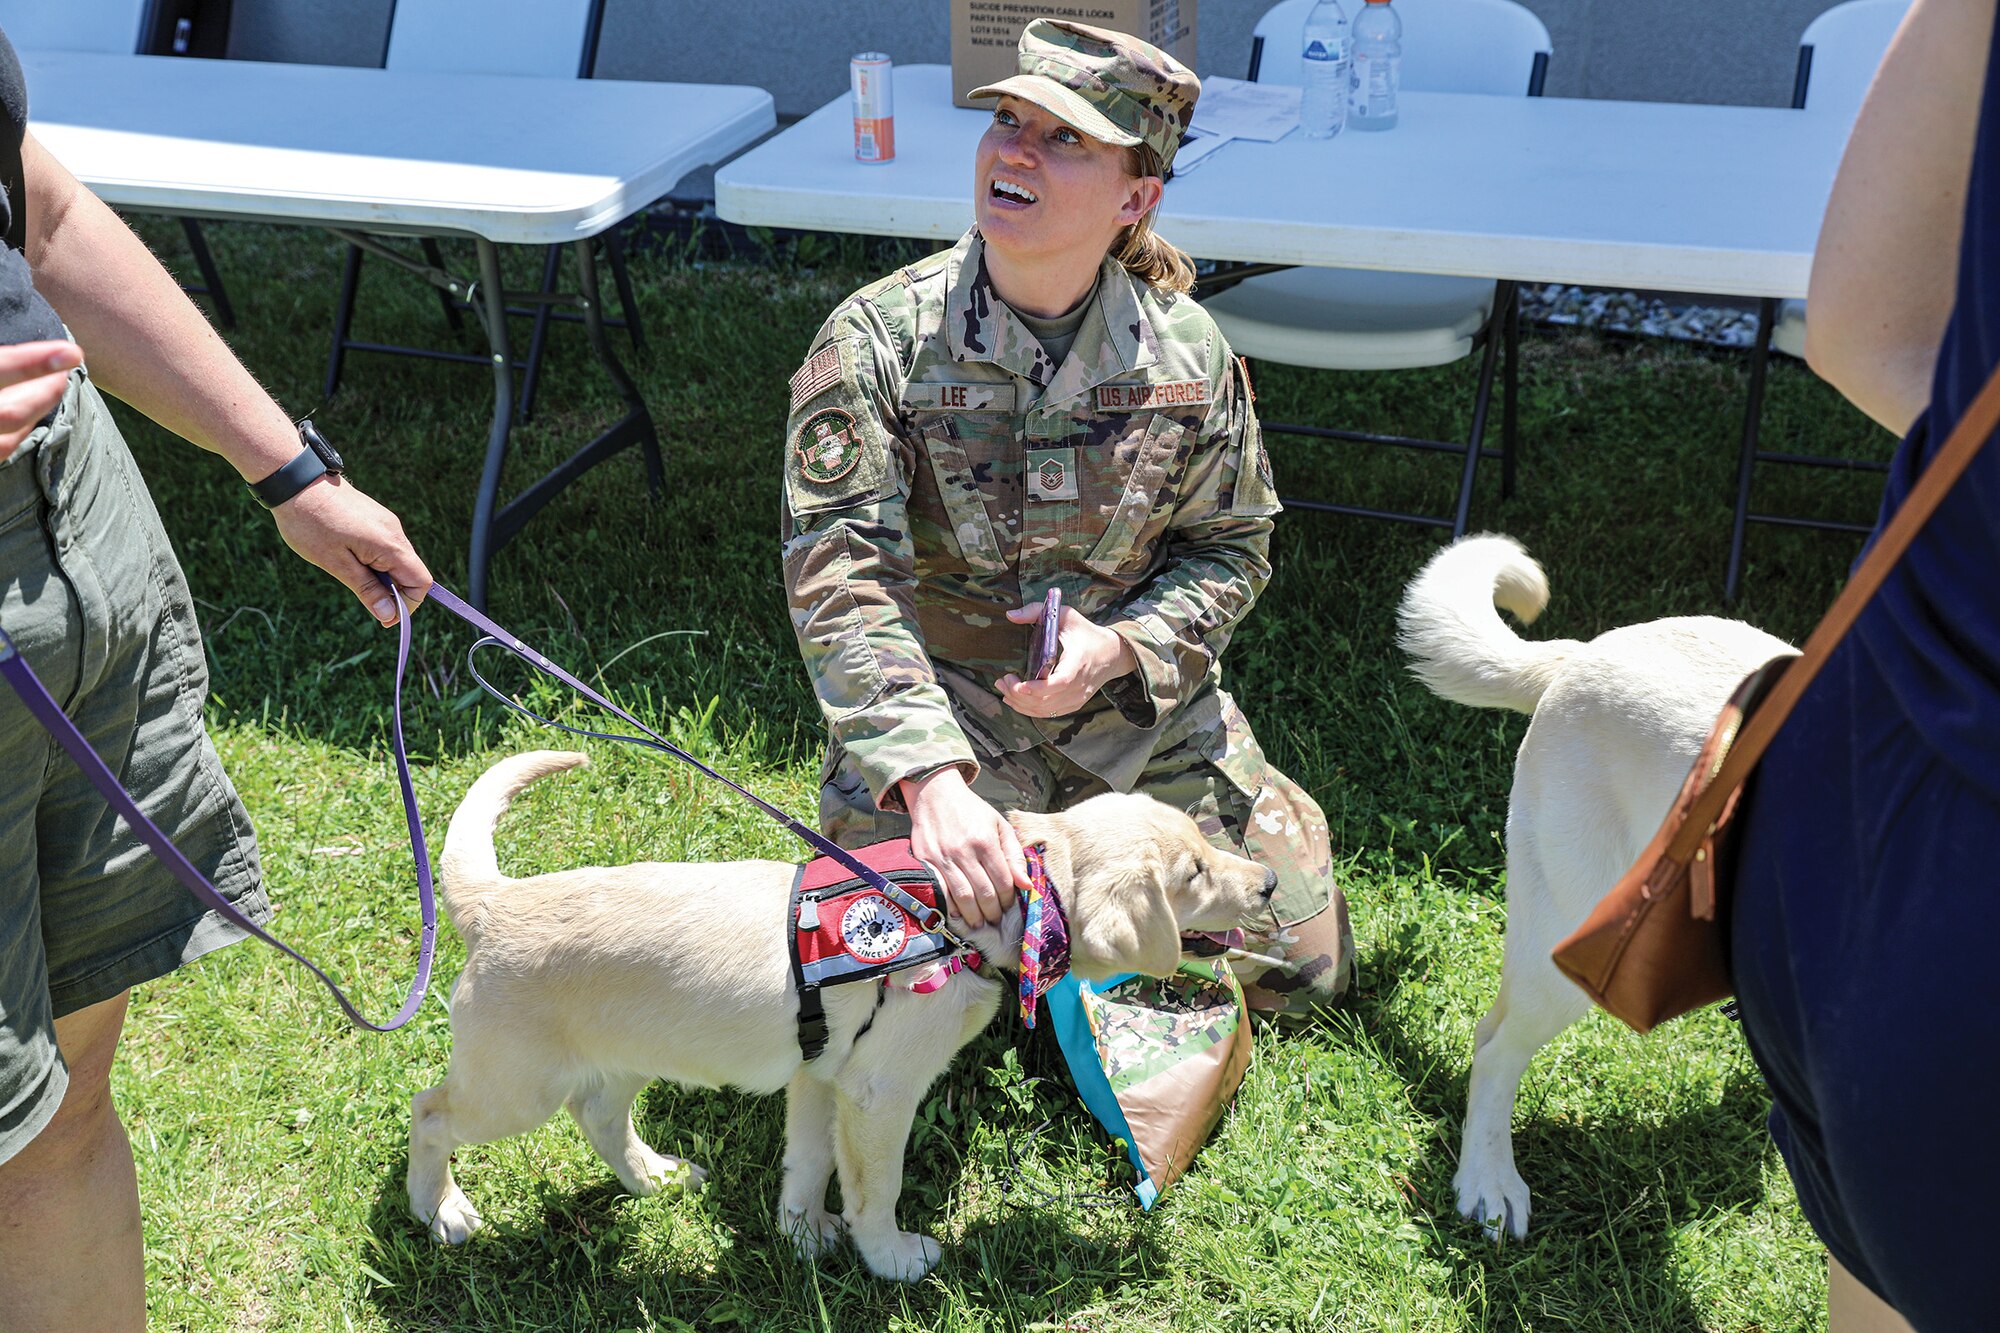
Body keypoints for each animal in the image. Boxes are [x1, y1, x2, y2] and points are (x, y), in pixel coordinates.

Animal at [410, 748, 1280, 1280]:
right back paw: (440, 1210)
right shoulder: (880, 1090)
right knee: (430, 1111)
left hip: (622, 1055)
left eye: (1203, 846)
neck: (965, 915)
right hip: (514, 1085)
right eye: (1194, 873)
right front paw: (888, 1256)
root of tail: (495, 900)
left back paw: (653, 1175)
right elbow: (874, 1184)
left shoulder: (821, 1074)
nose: (1268, 882)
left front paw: (802, 1238)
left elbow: (807, 1164)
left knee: (598, 1114)